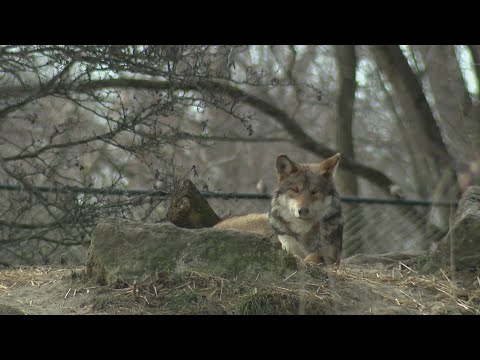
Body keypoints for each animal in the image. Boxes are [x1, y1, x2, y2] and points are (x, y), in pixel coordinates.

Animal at [215, 152, 344, 264]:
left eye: (314, 191)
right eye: (295, 189)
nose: (302, 210)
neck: (304, 230)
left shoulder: (332, 256)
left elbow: (316, 256)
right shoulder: (288, 248)